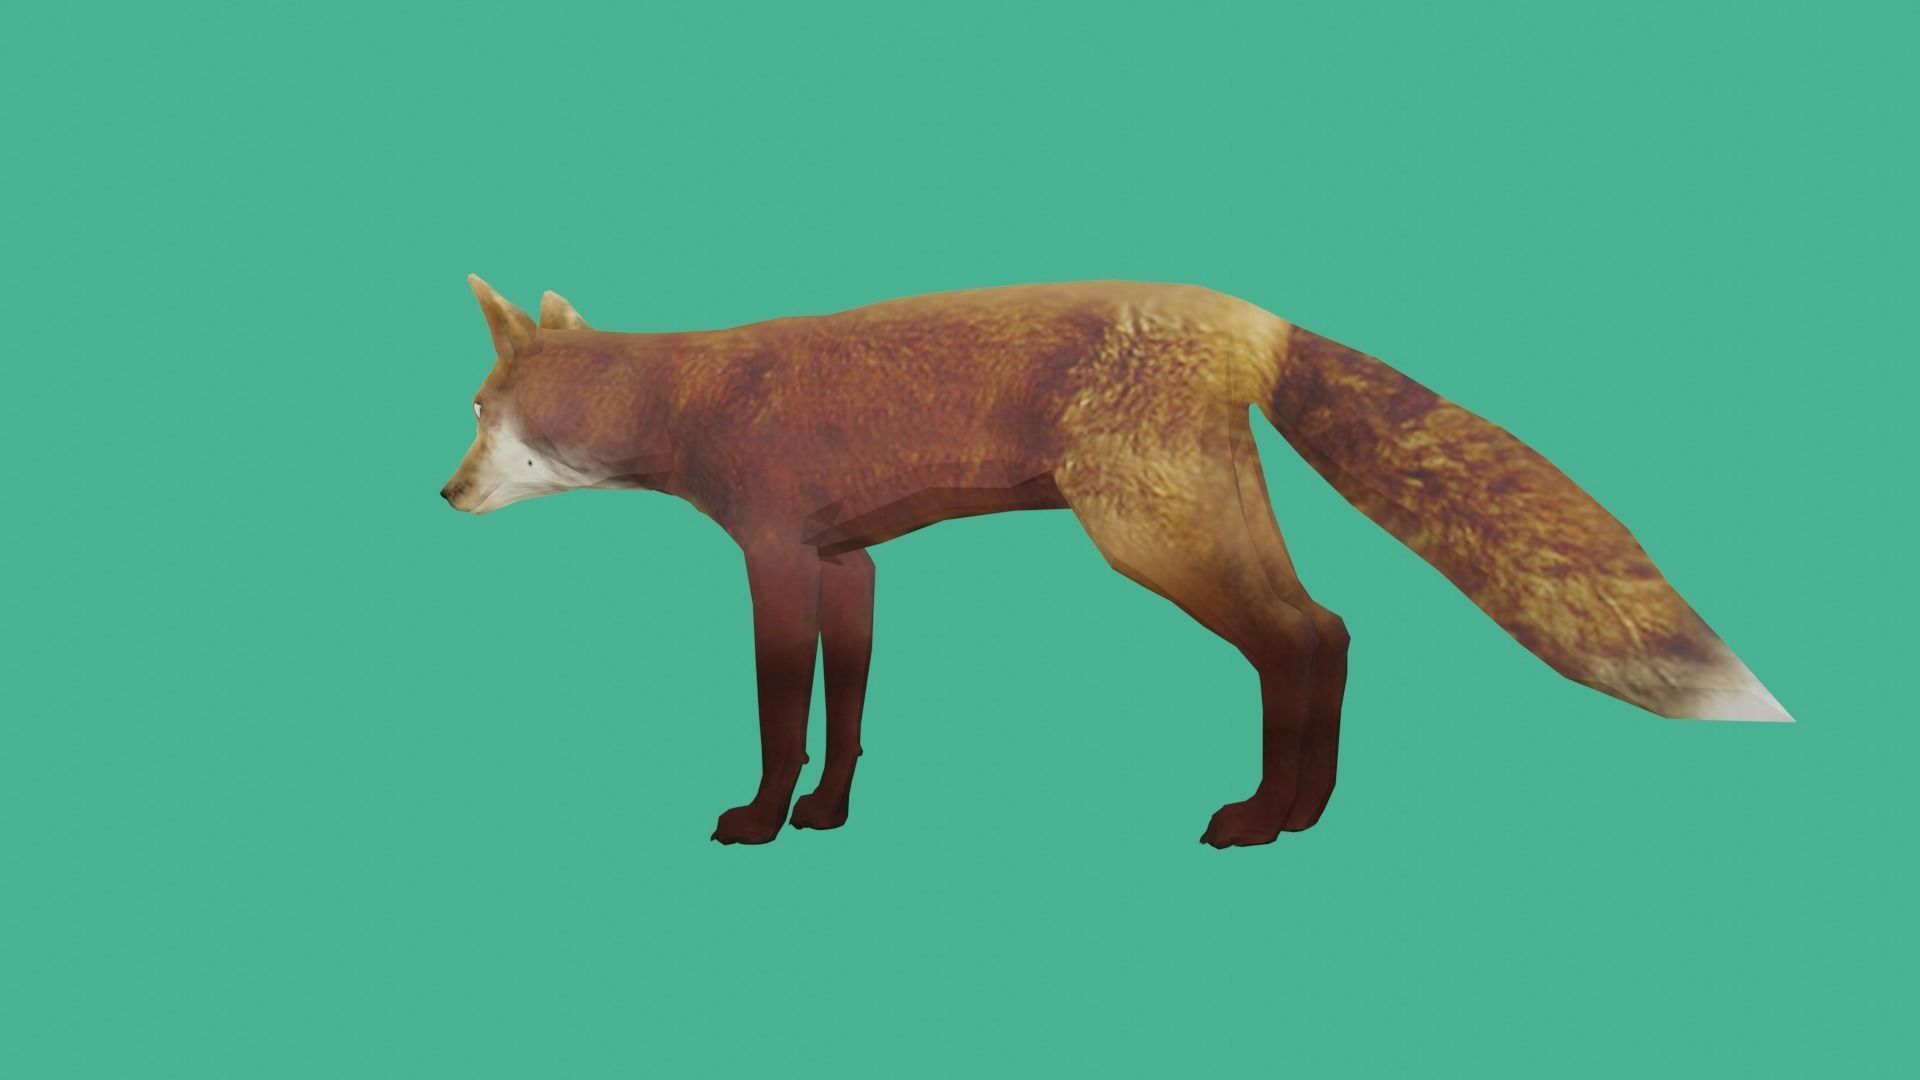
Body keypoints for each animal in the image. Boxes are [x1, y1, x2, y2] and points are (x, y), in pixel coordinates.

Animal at [441, 275, 1790, 848]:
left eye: (477, 411)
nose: (441, 492)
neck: (685, 396)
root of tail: (1253, 314)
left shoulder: (776, 558)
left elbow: (782, 716)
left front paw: (766, 822)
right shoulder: (849, 564)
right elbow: (849, 713)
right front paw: (828, 816)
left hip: (1150, 533)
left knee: (1296, 641)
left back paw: (1262, 822)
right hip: (1203, 522)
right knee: (1330, 630)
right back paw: (1304, 814)